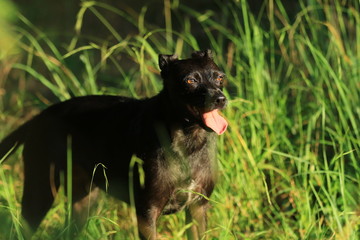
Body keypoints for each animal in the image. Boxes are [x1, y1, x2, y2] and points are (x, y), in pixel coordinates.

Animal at [0, 49, 226, 239]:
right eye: (190, 80)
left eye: (220, 77)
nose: (220, 99)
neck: (188, 143)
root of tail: (40, 116)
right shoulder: (148, 212)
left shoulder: (198, 207)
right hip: (39, 192)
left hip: (84, 201)